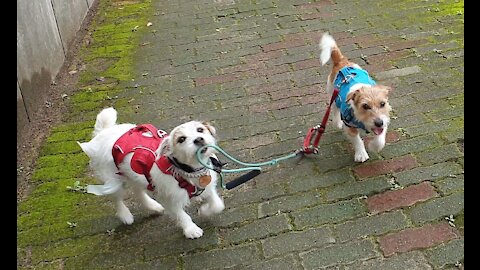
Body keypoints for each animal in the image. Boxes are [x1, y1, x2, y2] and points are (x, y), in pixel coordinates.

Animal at [77, 107, 225, 238]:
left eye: (200, 130)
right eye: (181, 139)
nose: (199, 139)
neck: (186, 169)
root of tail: (103, 132)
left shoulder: (207, 186)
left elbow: (218, 205)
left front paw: (204, 211)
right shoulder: (169, 197)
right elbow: (181, 215)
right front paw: (191, 229)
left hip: (133, 174)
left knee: (138, 192)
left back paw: (153, 206)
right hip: (113, 179)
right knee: (117, 198)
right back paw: (125, 215)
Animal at [318, 32, 390, 161]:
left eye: (382, 104)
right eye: (365, 106)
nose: (378, 123)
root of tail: (341, 61)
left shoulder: (384, 119)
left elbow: (380, 139)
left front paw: (373, 146)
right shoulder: (349, 125)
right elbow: (357, 140)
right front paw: (361, 154)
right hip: (333, 94)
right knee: (334, 108)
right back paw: (337, 122)